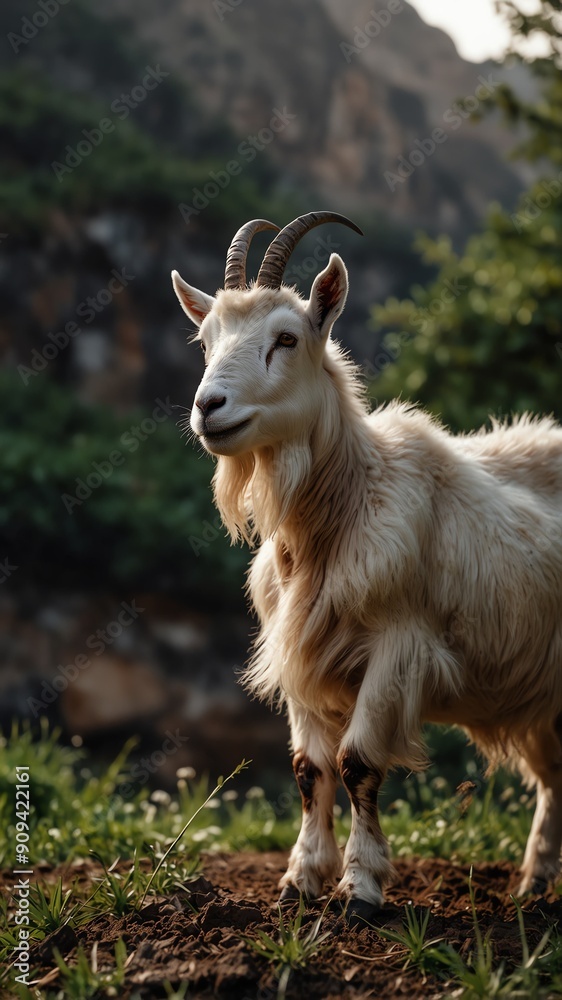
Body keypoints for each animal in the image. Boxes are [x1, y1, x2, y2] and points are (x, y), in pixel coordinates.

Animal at [172, 212, 562, 924]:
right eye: (206, 339)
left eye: (286, 338)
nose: (208, 407)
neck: (343, 508)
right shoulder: (301, 654)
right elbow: (309, 768)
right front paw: (300, 880)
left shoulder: (397, 644)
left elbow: (357, 764)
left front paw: (360, 888)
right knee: (554, 776)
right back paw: (535, 880)